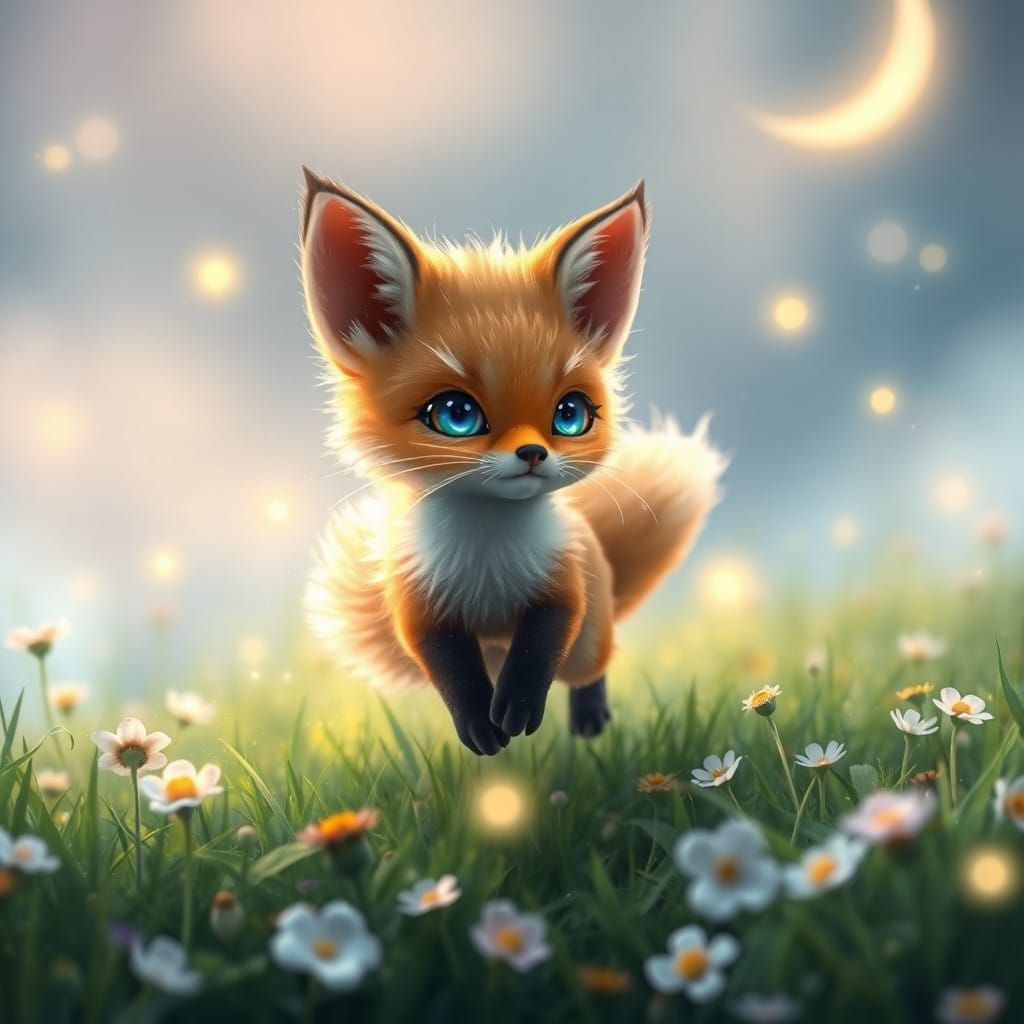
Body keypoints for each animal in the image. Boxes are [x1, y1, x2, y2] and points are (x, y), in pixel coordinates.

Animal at [299, 168, 725, 755]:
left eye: (570, 414)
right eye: (456, 414)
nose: (533, 453)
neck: (487, 563)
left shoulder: (563, 583)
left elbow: (539, 646)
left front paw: (518, 708)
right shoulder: (419, 604)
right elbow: (452, 671)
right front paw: (480, 725)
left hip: (589, 640)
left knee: (589, 666)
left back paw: (589, 719)